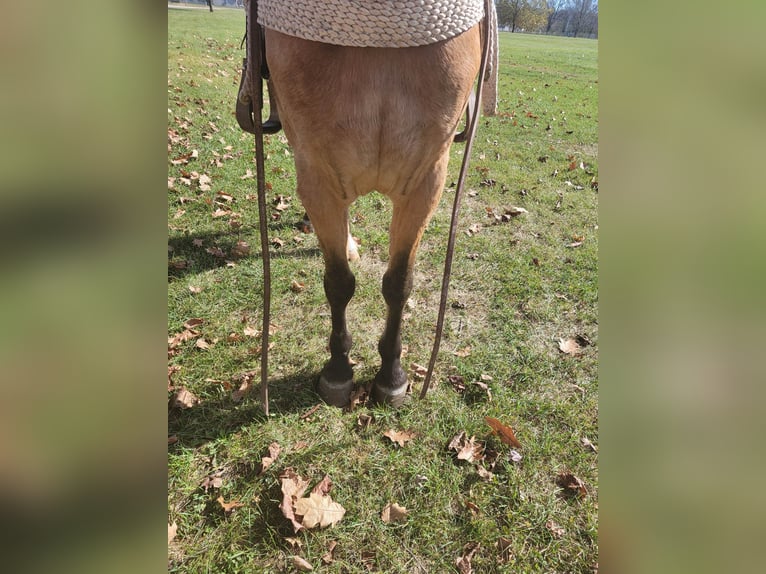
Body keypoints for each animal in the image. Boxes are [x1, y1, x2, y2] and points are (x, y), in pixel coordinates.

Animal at [237, 1, 498, 414]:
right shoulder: (319, 180)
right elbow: (338, 283)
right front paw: (338, 371)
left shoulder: (425, 182)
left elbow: (399, 284)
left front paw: (392, 376)